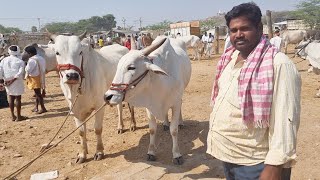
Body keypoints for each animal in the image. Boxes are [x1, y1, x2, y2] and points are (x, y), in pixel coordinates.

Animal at [44, 31, 134, 163]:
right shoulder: (74, 108)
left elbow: (97, 129)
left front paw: (99, 152)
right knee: (119, 108)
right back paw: (120, 127)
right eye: (57, 52)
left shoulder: (99, 105)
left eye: (80, 52)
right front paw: (82, 154)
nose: (72, 76)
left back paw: (133, 125)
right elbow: (81, 132)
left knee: (131, 107)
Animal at [104, 36, 191, 165]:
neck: (159, 81)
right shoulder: (149, 106)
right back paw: (165, 123)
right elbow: (152, 129)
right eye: (118, 65)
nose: (107, 96)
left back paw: (180, 122)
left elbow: (174, 130)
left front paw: (177, 154)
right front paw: (151, 152)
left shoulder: (175, 103)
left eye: (131, 67)